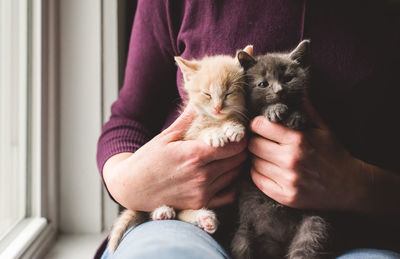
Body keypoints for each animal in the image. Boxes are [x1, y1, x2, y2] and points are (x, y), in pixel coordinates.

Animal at [233, 39, 330, 258]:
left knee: (306, 245)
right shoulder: (246, 123)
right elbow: (259, 112)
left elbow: (302, 114)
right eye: (263, 84)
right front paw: (274, 109)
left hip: (313, 223)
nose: (279, 91)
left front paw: (297, 116)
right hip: (244, 231)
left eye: (288, 78)